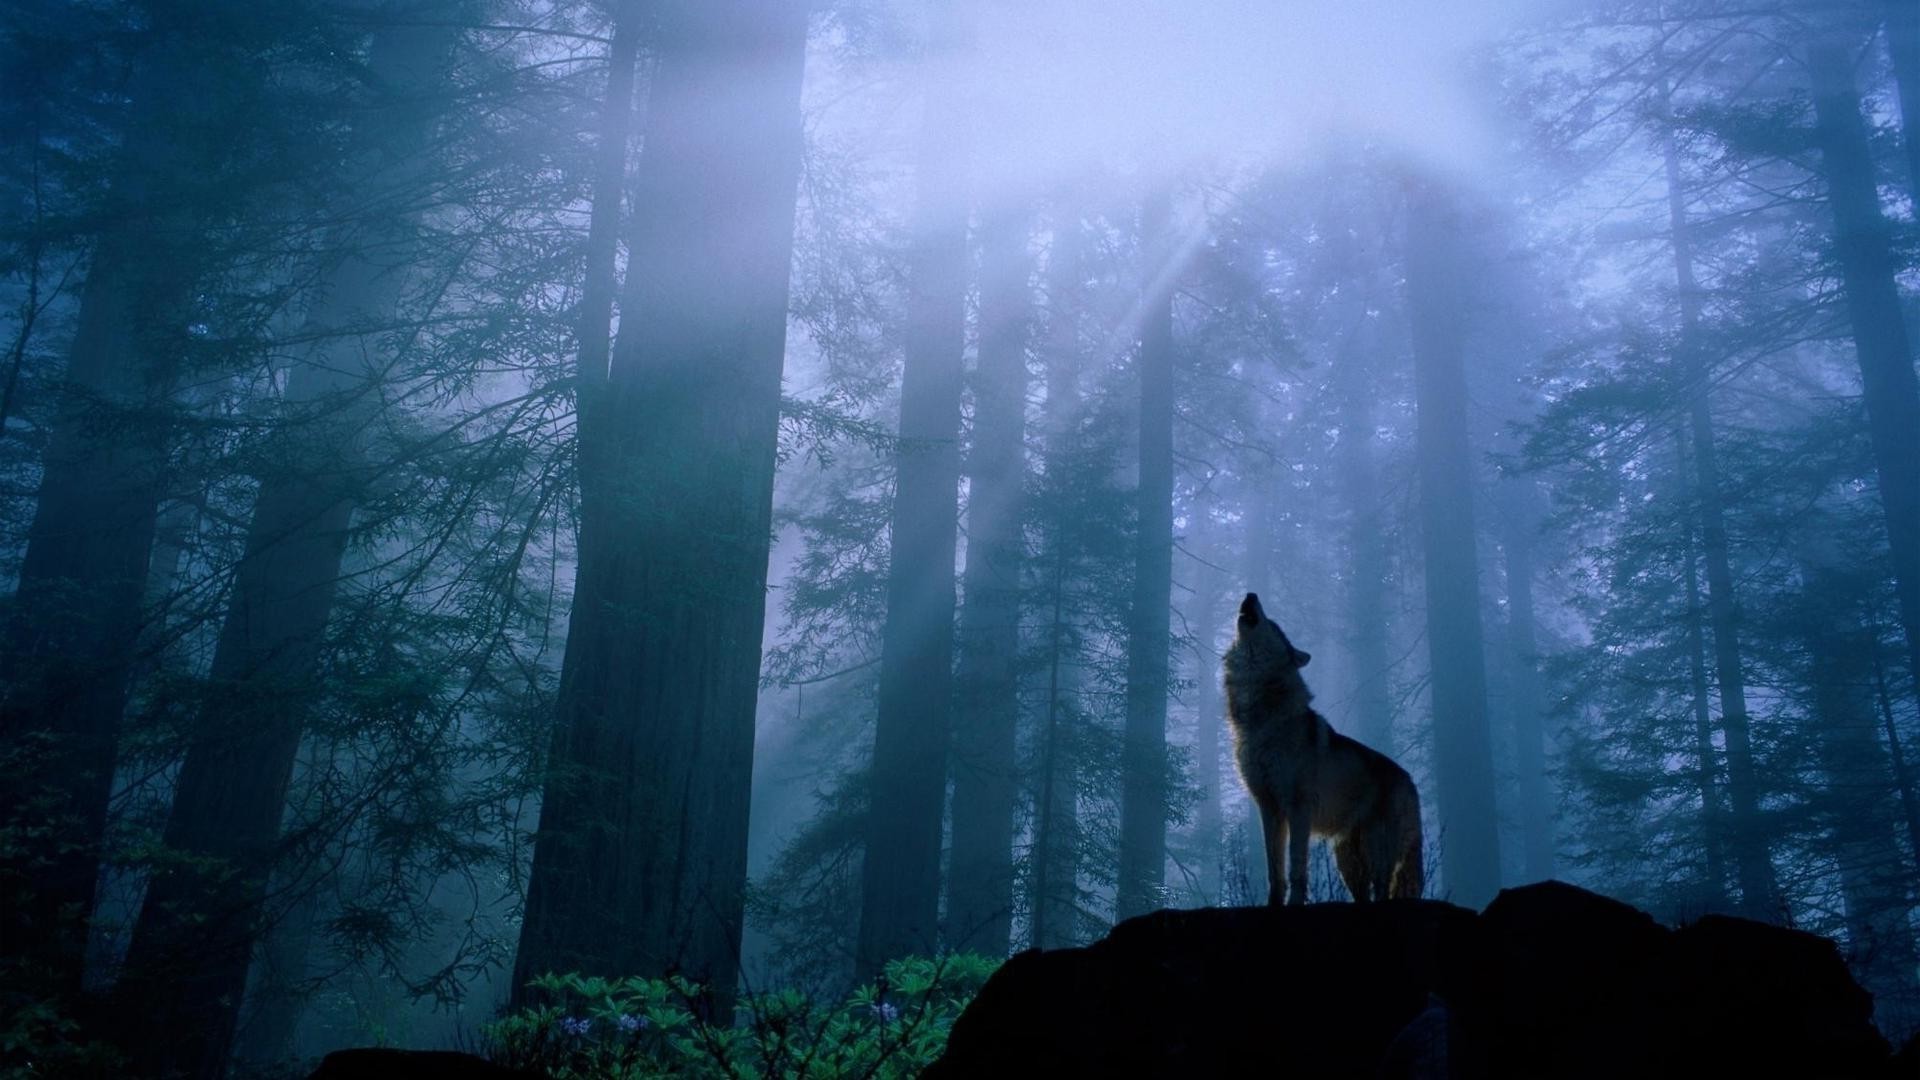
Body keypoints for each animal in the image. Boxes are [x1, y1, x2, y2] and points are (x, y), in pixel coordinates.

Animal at [1221, 591, 1420, 903]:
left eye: (1274, 625)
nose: (1251, 594)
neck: (1261, 717)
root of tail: (1410, 780)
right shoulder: (1269, 808)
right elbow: (1274, 871)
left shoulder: (1298, 808)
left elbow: (1297, 869)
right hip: (1348, 862)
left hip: (1377, 854)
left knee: (1383, 890)